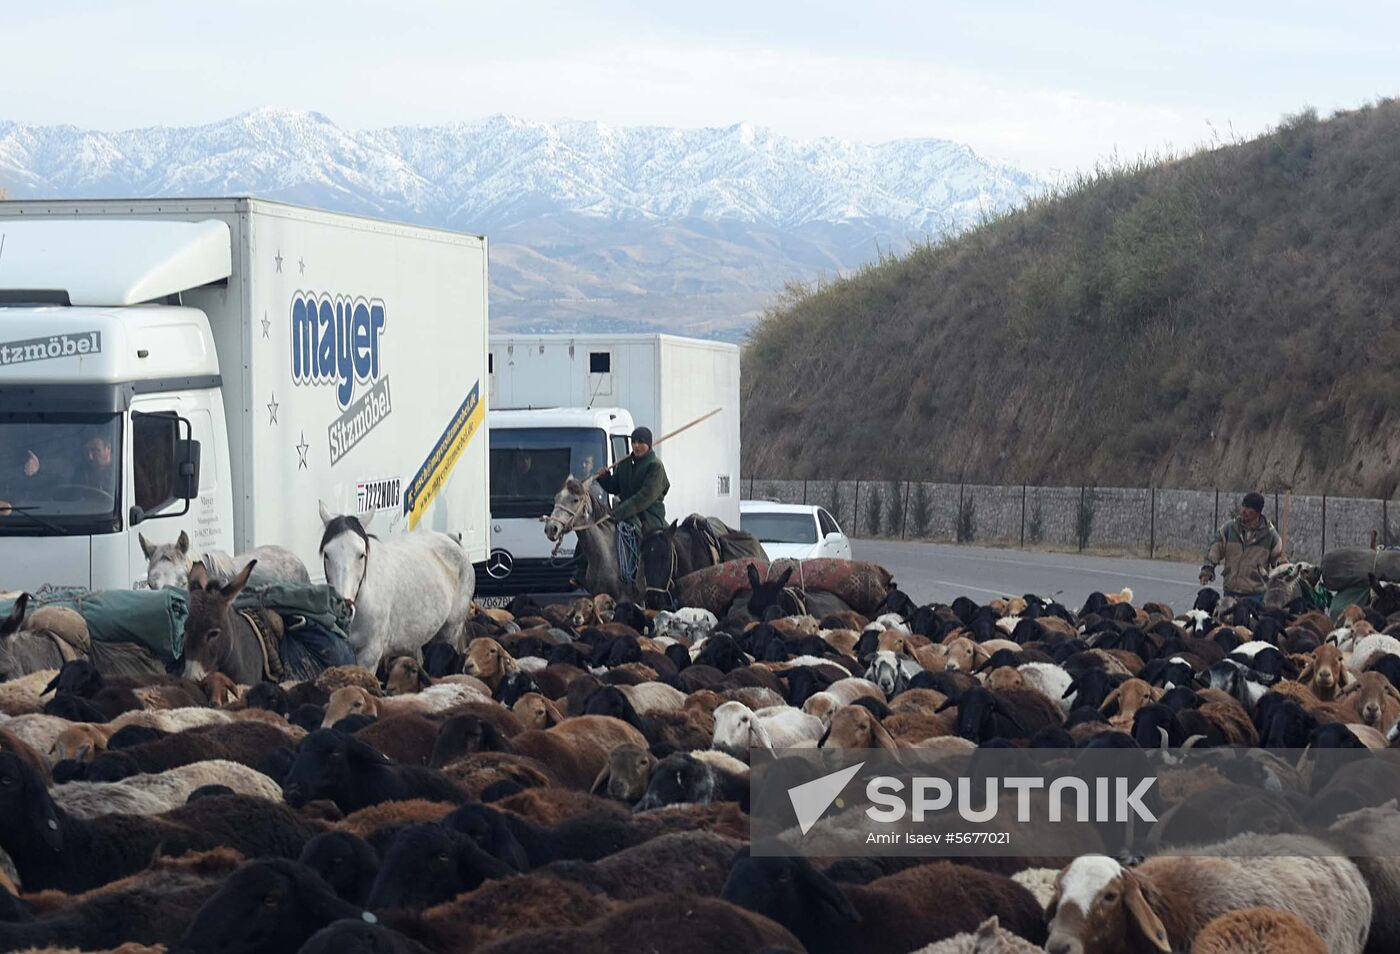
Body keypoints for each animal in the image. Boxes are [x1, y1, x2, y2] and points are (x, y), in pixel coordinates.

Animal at [317, 498, 476, 669]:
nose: (342, 610)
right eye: (327, 554)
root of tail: (451, 539)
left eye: (361, 555)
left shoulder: (369, 654)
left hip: (450, 631)